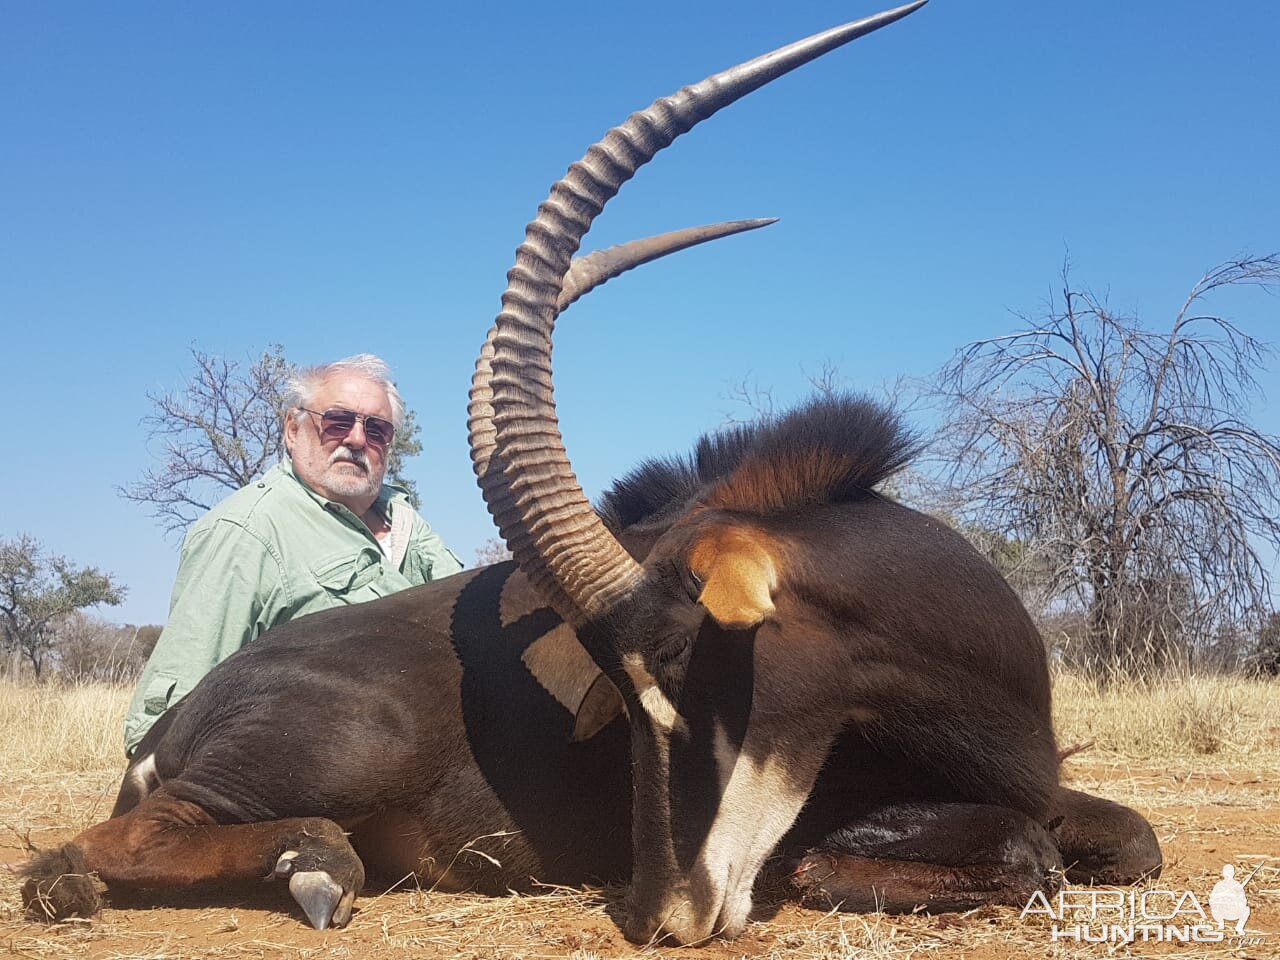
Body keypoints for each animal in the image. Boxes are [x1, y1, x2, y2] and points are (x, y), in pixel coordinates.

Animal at [17, 1, 1162, 947]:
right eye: (625, 692)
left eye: (683, 666)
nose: (663, 916)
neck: (978, 679)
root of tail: (180, 718)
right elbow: (1026, 849)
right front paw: (828, 876)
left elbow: (1127, 837)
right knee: (95, 846)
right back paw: (292, 866)